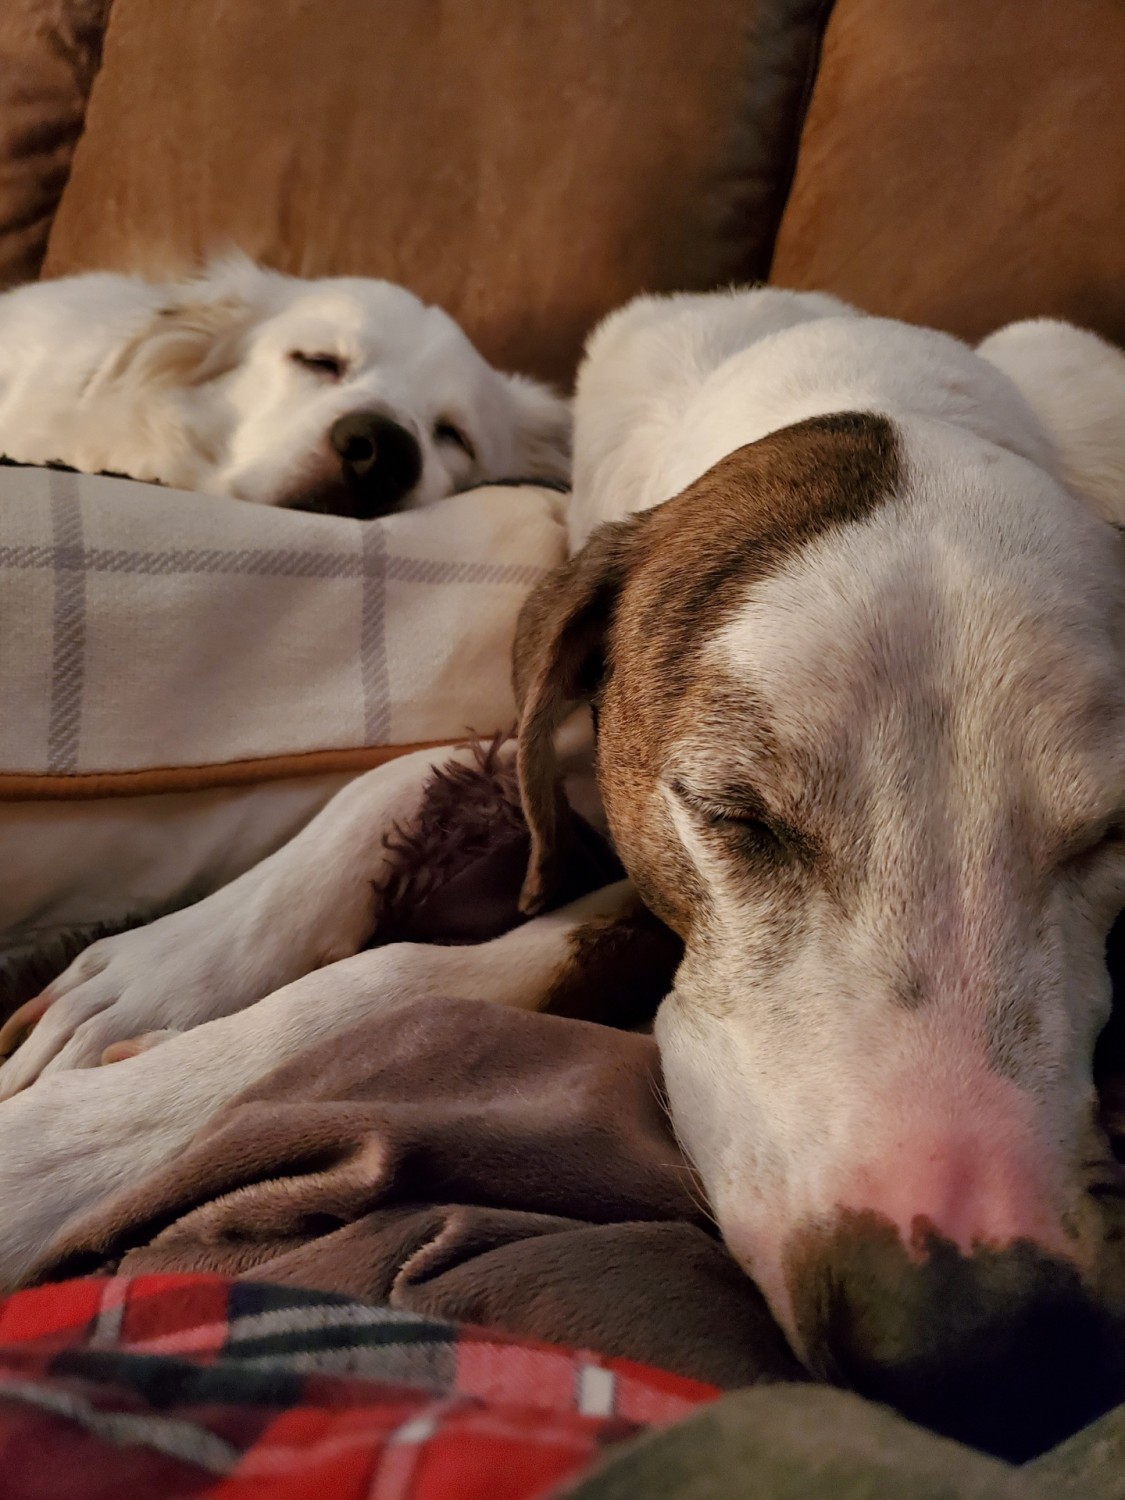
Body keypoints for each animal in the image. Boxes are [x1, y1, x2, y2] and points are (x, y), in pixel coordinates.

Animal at [2, 283, 1125, 1452]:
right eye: (733, 816)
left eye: (1113, 833)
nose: (985, 1352)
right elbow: (397, 781)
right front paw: (159, 980)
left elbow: (404, 976)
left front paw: (49, 1154)